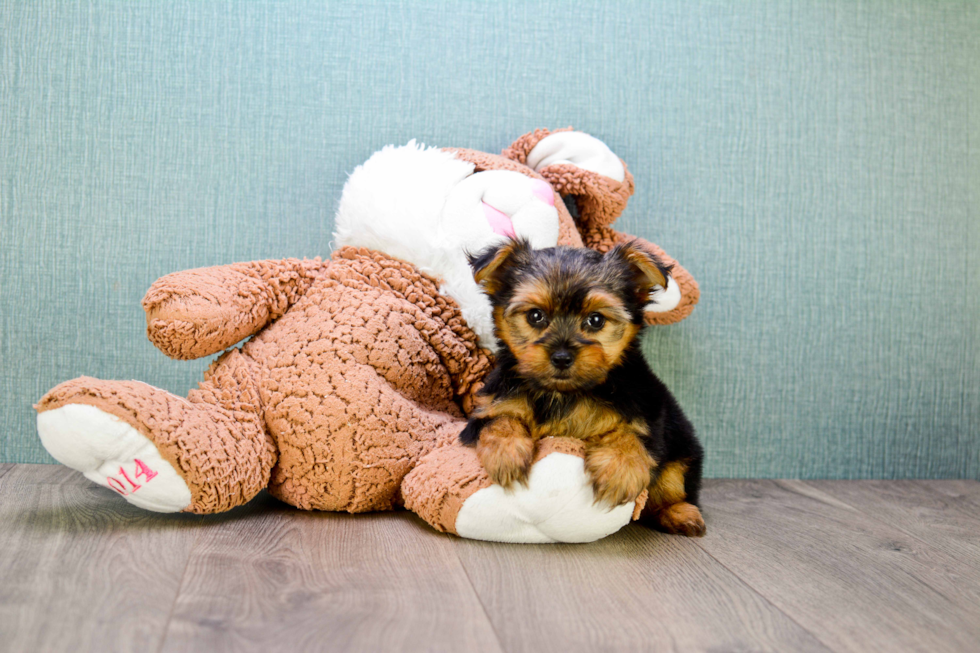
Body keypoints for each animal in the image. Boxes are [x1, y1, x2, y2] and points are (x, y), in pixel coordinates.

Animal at [460, 238, 704, 536]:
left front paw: (620, 469)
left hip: (683, 447)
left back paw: (681, 514)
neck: (564, 394)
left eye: (596, 320)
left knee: (673, 484)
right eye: (535, 316)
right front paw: (506, 453)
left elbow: (633, 435)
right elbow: (500, 419)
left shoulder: (648, 411)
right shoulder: (488, 406)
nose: (562, 357)